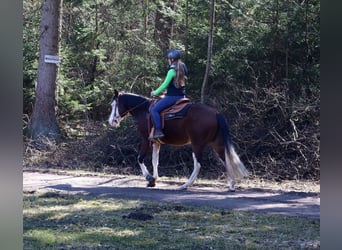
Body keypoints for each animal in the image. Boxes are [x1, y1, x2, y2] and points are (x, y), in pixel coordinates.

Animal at [108, 90, 247, 191]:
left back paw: (186, 185)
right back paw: (231, 185)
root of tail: (216, 113)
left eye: (114, 105)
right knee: (225, 160)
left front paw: (149, 178)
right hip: (217, 144)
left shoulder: (146, 140)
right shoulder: (156, 143)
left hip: (197, 144)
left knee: (198, 164)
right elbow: (155, 161)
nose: (111, 122)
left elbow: (140, 159)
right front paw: (154, 179)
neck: (144, 110)